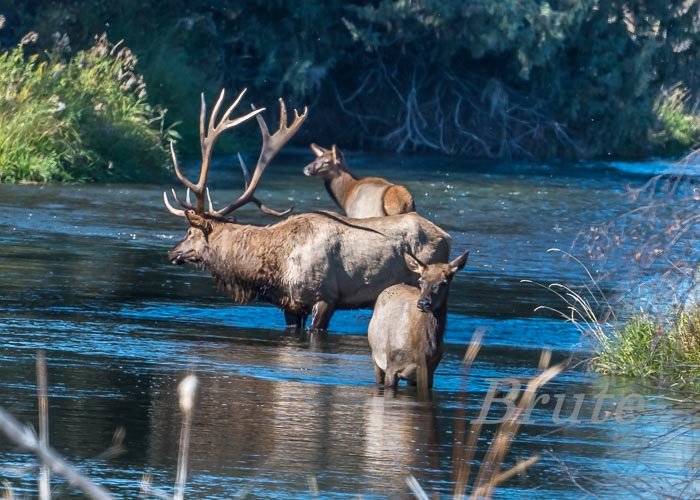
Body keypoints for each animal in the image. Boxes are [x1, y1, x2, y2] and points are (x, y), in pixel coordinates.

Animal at [163, 89, 452, 332]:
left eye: (189, 231)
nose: (171, 252)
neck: (273, 268)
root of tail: (447, 236)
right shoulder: (290, 304)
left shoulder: (325, 297)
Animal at [366, 250, 470, 390]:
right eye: (421, 280)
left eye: (444, 282)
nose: (423, 303)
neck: (421, 349)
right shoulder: (391, 367)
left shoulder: (428, 373)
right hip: (376, 357)